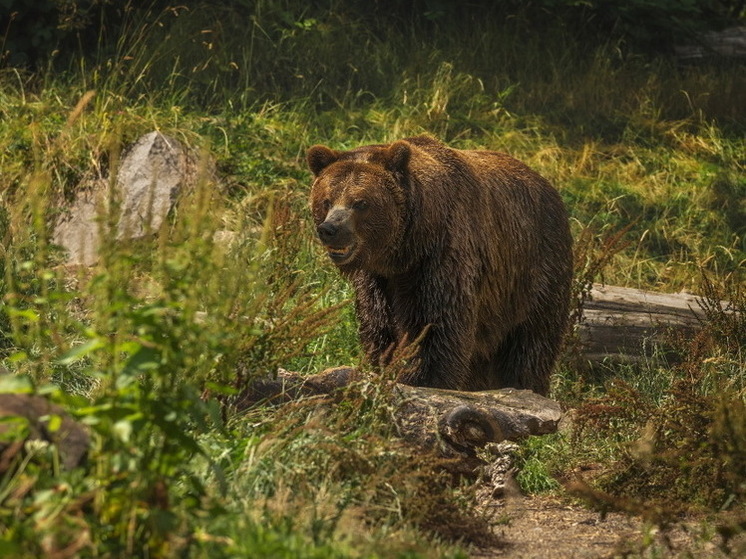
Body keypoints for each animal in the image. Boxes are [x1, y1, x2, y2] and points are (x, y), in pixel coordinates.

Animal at [306, 136, 572, 396]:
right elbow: (379, 328)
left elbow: (436, 328)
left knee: (530, 345)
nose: (330, 229)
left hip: (534, 274)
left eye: (361, 203)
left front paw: (420, 379)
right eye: (326, 200)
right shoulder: (377, 280)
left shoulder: (441, 260)